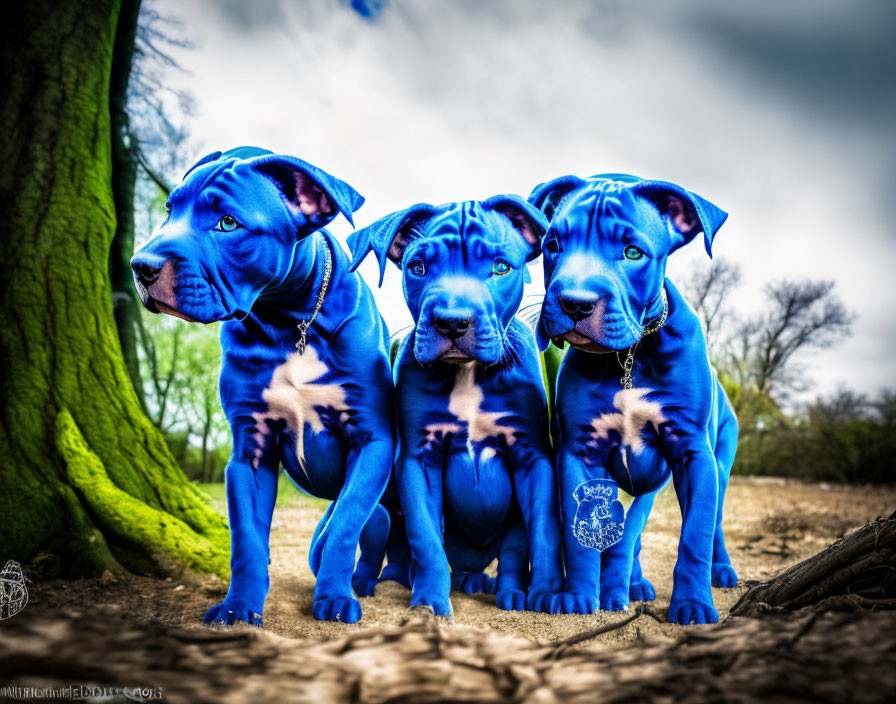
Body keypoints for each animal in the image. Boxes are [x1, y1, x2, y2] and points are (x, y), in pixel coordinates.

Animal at [132, 146, 396, 624]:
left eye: (227, 223)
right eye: (169, 209)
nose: (139, 265)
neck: (287, 320)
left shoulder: (372, 439)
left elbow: (346, 526)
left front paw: (334, 597)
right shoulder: (249, 449)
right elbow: (247, 541)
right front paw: (239, 606)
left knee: (367, 528)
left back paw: (361, 583)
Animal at [346, 195, 564, 612]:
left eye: (500, 267)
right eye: (417, 267)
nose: (452, 322)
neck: (467, 373)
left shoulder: (533, 456)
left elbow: (545, 531)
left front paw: (547, 591)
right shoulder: (418, 458)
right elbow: (426, 539)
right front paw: (430, 601)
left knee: (513, 551)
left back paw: (504, 589)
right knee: (391, 539)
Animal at [528, 173, 740, 624]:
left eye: (632, 252)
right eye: (553, 245)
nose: (575, 303)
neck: (629, 356)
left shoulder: (692, 452)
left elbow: (694, 535)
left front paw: (693, 603)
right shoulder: (580, 451)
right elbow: (581, 538)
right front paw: (579, 596)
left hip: (719, 461)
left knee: (711, 525)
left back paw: (720, 572)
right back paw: (630, 584)